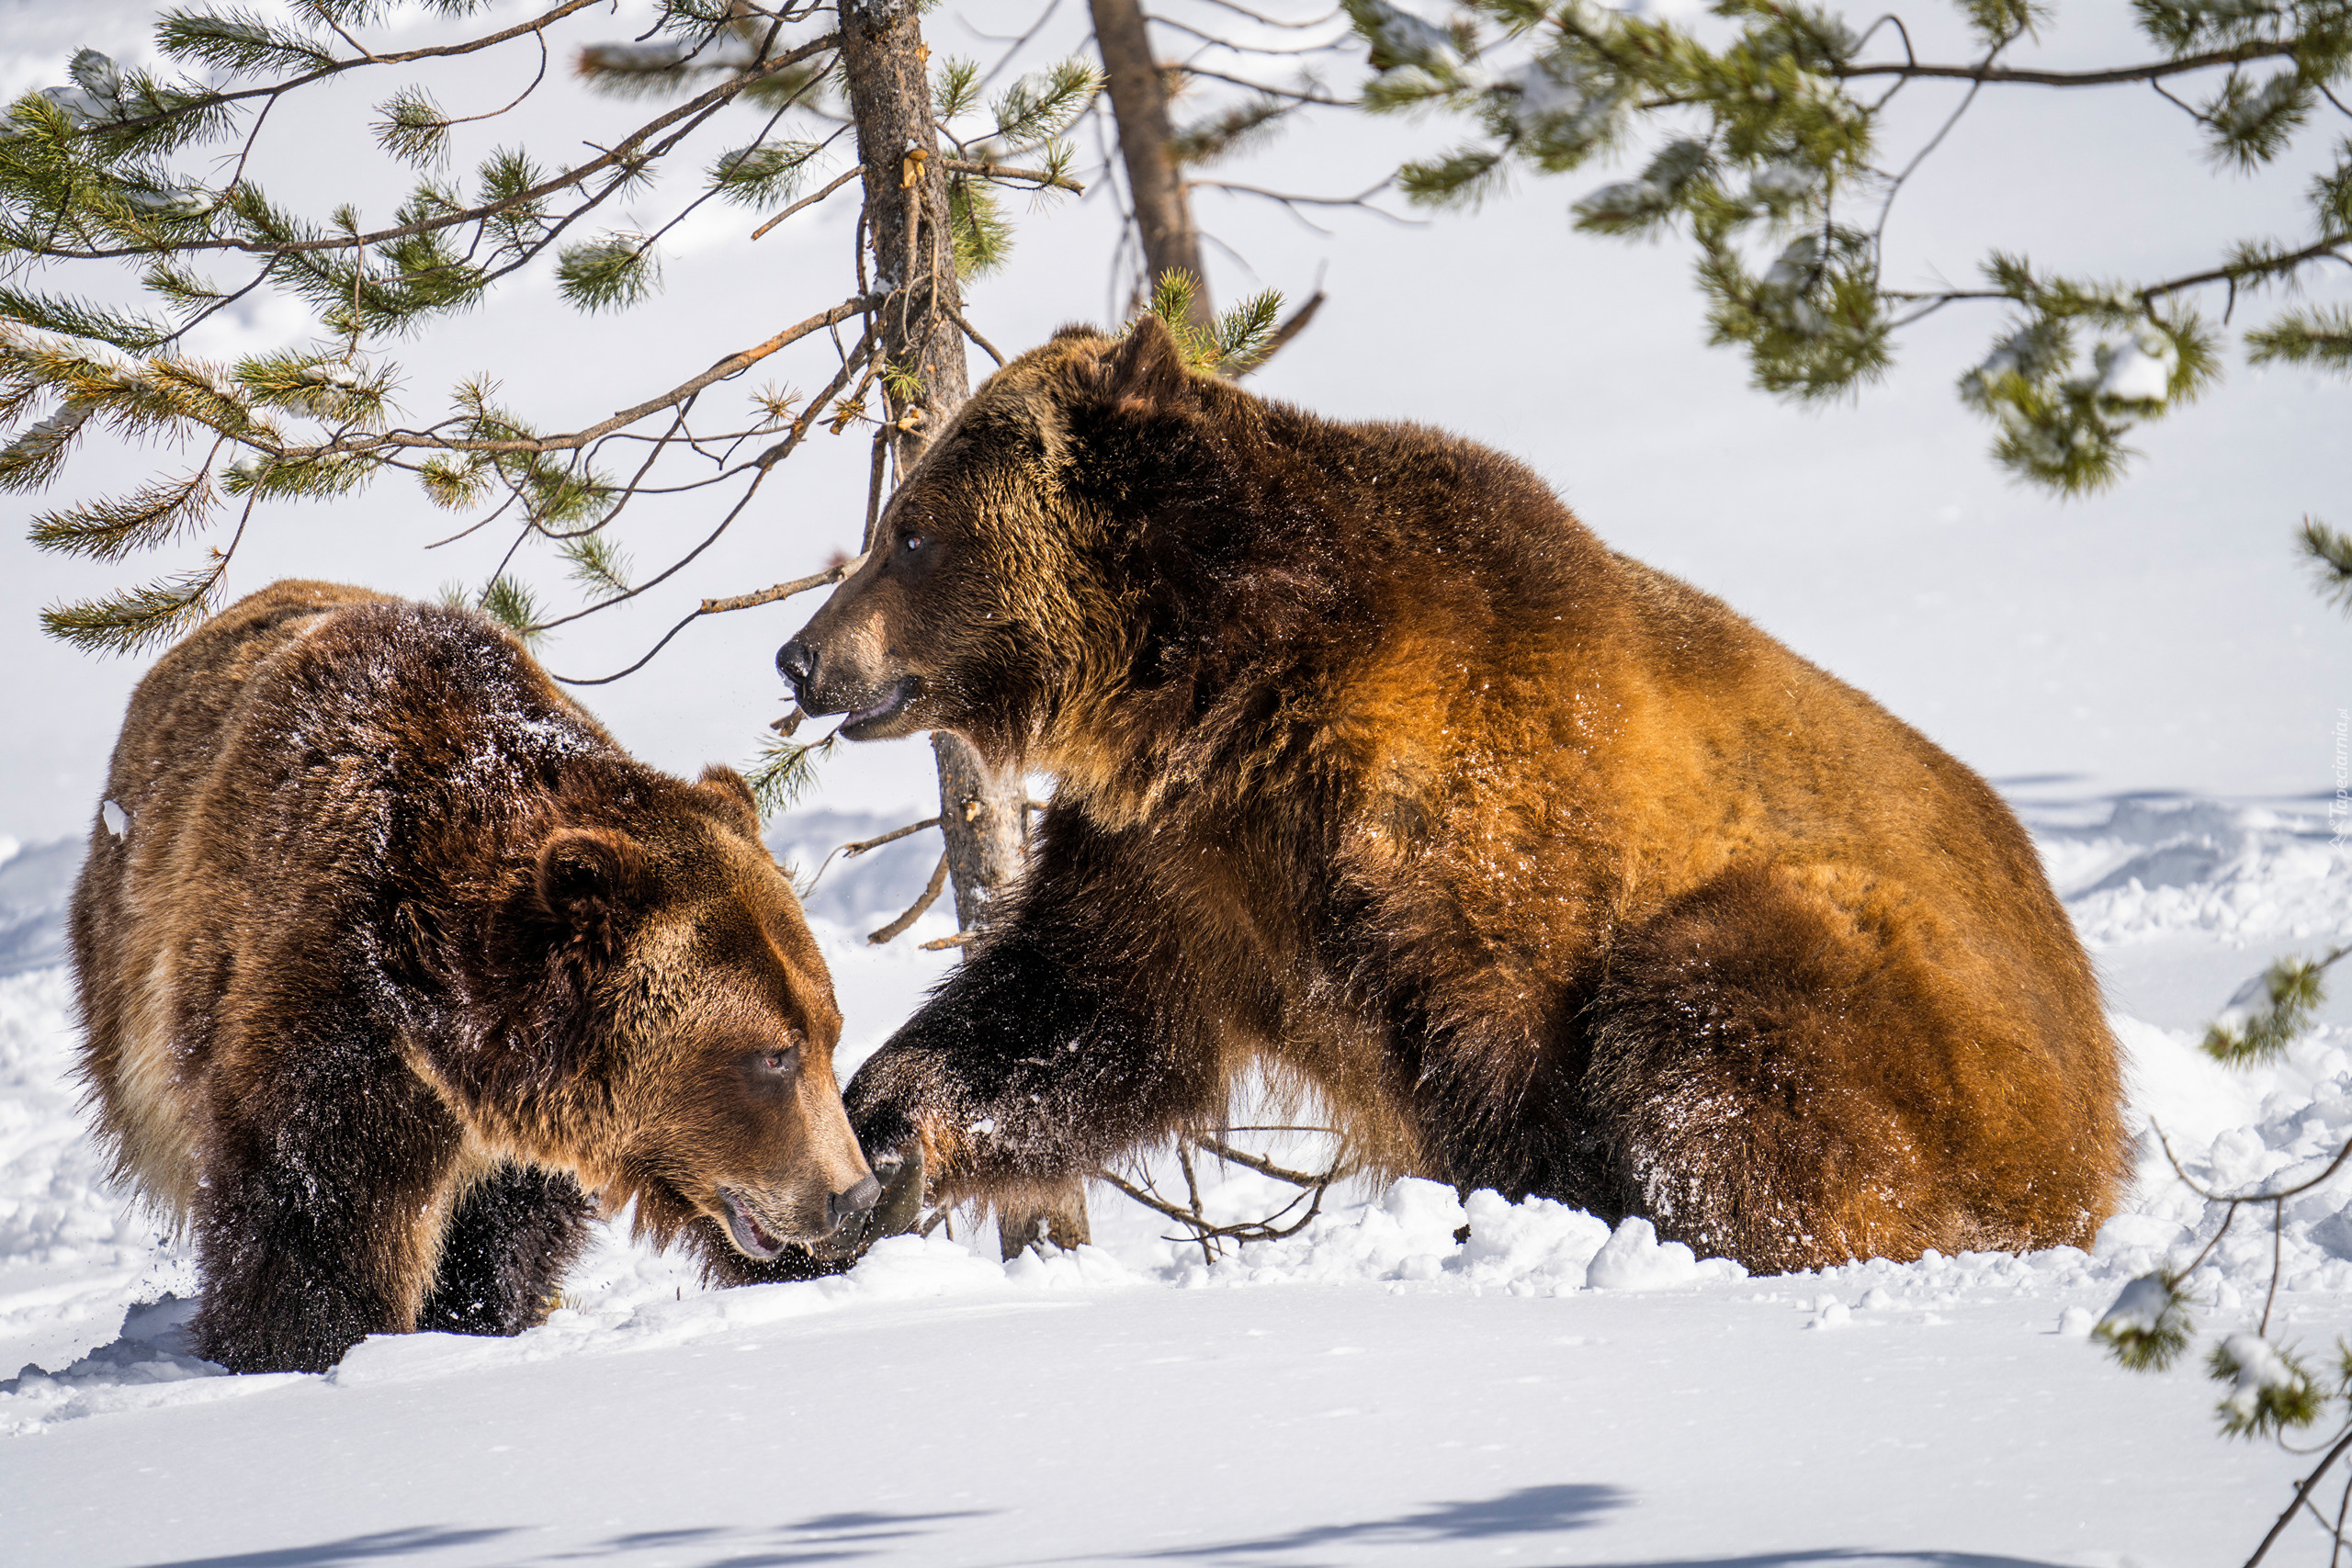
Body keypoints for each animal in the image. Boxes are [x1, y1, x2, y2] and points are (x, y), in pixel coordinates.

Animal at [775, 314, 2135, 1279]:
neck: (1233, 688)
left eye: (911, 528)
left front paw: (1533, 1217)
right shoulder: (1183, 854)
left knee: (1723, 1017)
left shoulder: (1483, 834)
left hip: (1908, 1004)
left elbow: (1513, 1057)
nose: (799, 655)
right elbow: (1067, 1012)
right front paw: (876, 1138)